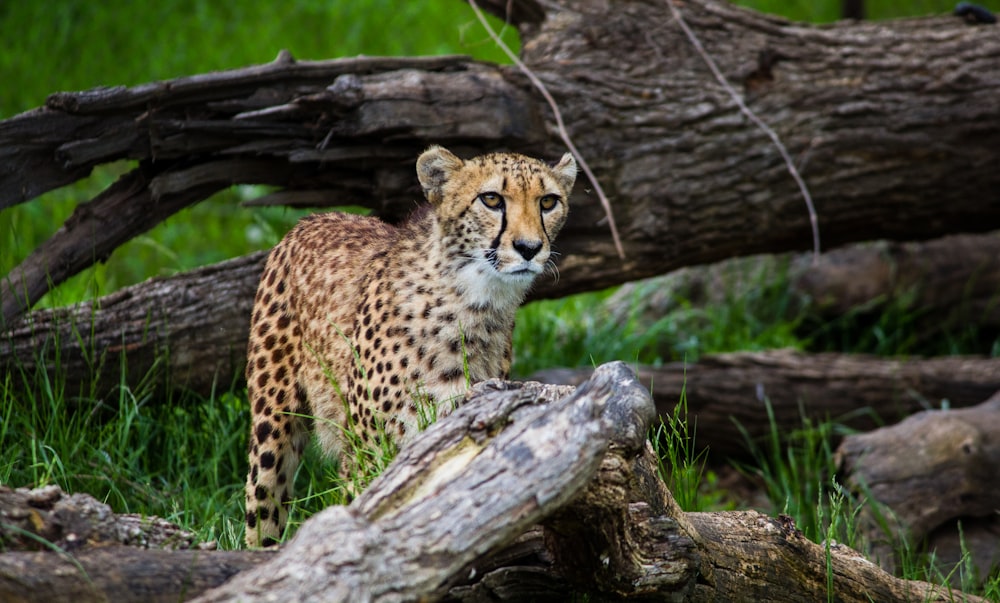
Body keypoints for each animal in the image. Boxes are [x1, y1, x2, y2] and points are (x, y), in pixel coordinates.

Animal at [243, 146, 576, 548]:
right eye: (492, 199)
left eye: (548, 201)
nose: (529, 248)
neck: (475, 303)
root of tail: (313, 218)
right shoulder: (369, 456)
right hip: (273, 424)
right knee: (263, 507)